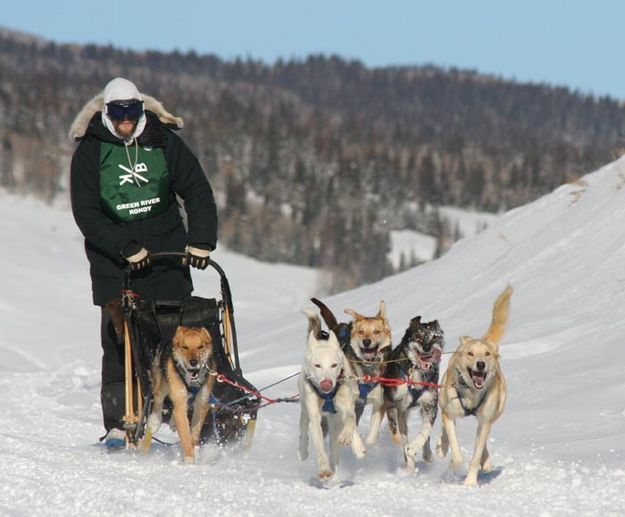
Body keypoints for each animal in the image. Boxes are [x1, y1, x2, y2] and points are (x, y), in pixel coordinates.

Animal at [146, 324, 217, 462]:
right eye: (185, 347)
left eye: (200, 346)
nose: (194, 362)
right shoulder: (179, 398)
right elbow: (185, 434)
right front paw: (189, 458)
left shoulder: (202, 404)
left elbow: (194, 435)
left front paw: (194, 450)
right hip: (162, 385)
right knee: (158, 399)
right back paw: (154, 422)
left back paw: (173, 422)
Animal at [298, 306, 366, 480]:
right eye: (317, 365)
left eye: (334, 365)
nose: (326, 383)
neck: (328, 396)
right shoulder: (314, 416)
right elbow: (319, 445)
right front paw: (324, 468)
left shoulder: (346, 405)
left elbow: (351, 419)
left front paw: (347, 437)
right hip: (305, 410)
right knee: (303, 430)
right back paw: (303, 451)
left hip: (336, 417)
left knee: (337, 442)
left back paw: (355, 447)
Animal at [310, 296, 390, 446]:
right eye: (361, 331)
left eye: (376, 331)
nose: (366, 342)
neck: (366, 371)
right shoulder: (347, 402)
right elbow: (349, 419)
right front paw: (348, 436)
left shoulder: (380, 402)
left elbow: (373, 432)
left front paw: (367, 443)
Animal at [380, 314, 444, 468]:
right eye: (418, 336)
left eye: (434, 336)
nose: (427, 348)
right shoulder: (391, 402)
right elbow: (397, 433)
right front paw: (404, 446)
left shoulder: (430, 405)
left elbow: (426, 430)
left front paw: (414, 447)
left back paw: (425, 455)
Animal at [434, 286, 512, 484]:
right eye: (470, 353)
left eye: (486, 354)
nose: (481, 364)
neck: (471, 394)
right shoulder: (450, 412)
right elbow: (457, 454)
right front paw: (452, 463)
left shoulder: (485, 421)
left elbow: (476, 456)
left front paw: (470, 482)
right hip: (445, 403)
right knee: (444, 426)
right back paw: (441, 446)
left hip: (493, 414)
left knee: (482, 441)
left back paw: (486, 461)